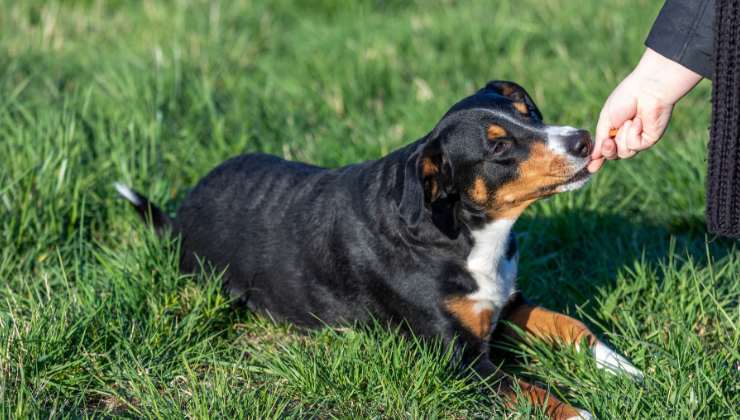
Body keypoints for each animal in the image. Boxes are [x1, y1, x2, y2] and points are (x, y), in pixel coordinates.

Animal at [117, 80, 640, 418]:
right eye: (497, 148)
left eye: (529, 114)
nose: (583, 139)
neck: (460, 233)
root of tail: (182, 212)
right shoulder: (460, 360)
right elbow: (531, 390)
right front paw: (581, 413)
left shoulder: (508, 303)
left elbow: (572, 326)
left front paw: (623, 367)